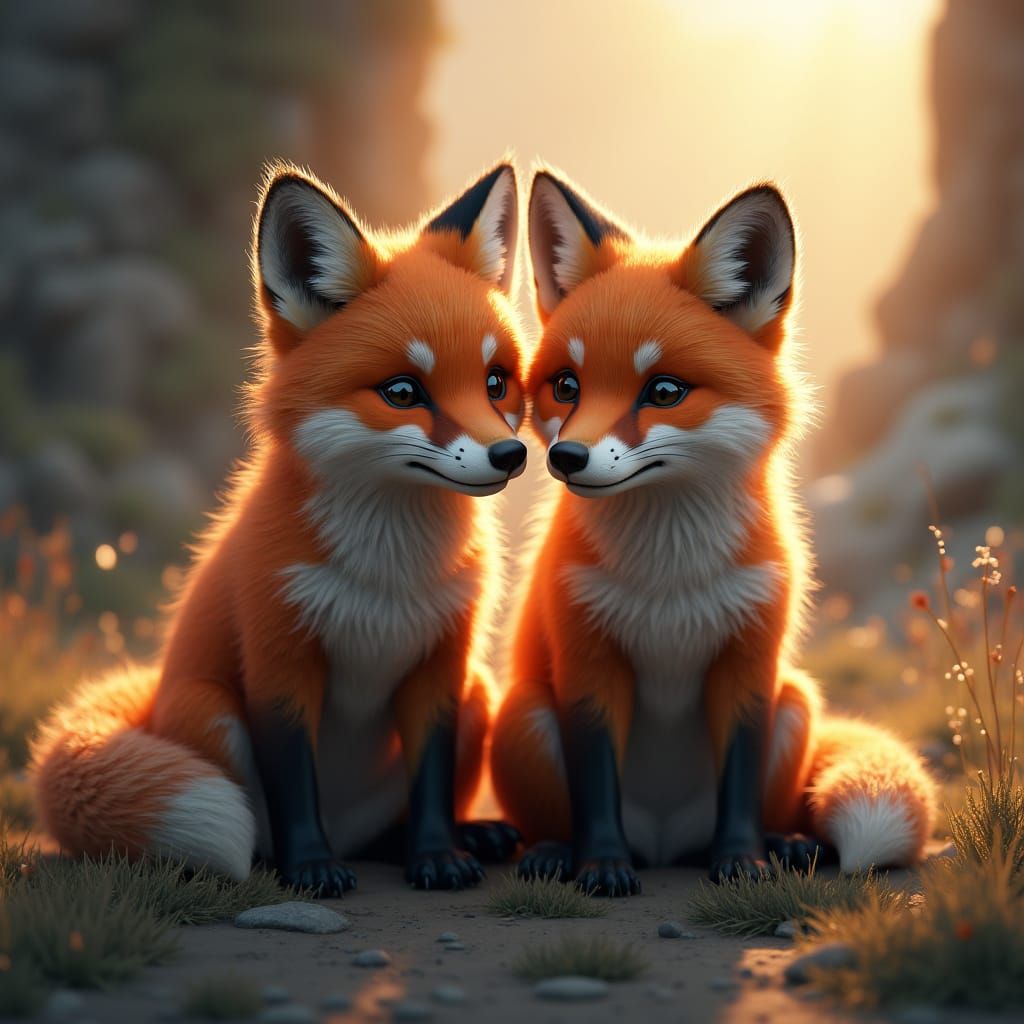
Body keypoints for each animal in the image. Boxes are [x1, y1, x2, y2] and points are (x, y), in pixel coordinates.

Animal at [31, 160, 530, 895]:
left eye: (497, 382)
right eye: (403, 392)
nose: (511, 455)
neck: (387, 574)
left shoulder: (441, 665)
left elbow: (432, 785)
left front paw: (438, 855)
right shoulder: (279, 661)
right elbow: (294, 785)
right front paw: (311, 868)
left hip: (479, 694)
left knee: (386, 832)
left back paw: (457, 837)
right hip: (210, 712)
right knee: (263, 825)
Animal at [490, 169, 937, 895]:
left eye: (665, 391)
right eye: (566, 385)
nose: (566, 458)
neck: (670, 575)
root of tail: (665, 843)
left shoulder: (749, 663)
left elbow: (740, 784)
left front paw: (742, 861)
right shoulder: (588, 662)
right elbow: (596, 783)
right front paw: (603, 865)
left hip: (796, 701)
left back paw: (782, 845)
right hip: (525, 714)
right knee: (553, 816)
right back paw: (557, 851)